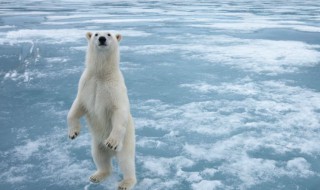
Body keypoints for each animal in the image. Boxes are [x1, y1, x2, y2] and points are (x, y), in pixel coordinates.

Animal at [67, 31, 136, 190]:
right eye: (96, 33)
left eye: (109, 34)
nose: (102, 39)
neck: (101, 74)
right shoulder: (86, 85)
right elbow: (77, 107)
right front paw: (73, 133)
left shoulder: (114, 89)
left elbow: (119, 111)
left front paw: (111, 142)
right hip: (97, 143)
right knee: (99, 157)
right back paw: (97, 176)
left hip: (126, 142)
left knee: (126, 161)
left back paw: (125, 183)